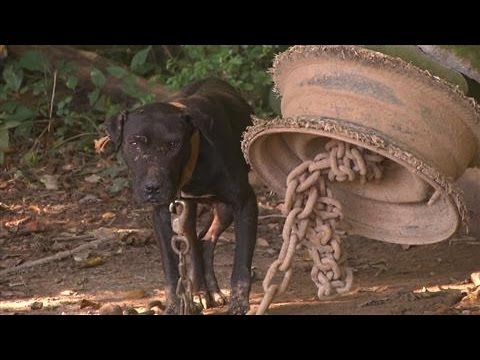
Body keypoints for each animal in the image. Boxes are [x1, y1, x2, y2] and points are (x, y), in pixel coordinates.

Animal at [106, 77, 258, 314]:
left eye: (173, 144)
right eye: (134, 143)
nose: (152, 188)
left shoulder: (245, 203)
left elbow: (241, 265)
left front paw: (239, 305)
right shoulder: (161, 213)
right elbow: (171, 268)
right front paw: (175, 305)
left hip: (224, 210)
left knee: (204, 240)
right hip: (186, 212)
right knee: (195, 243)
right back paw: (201, 291)